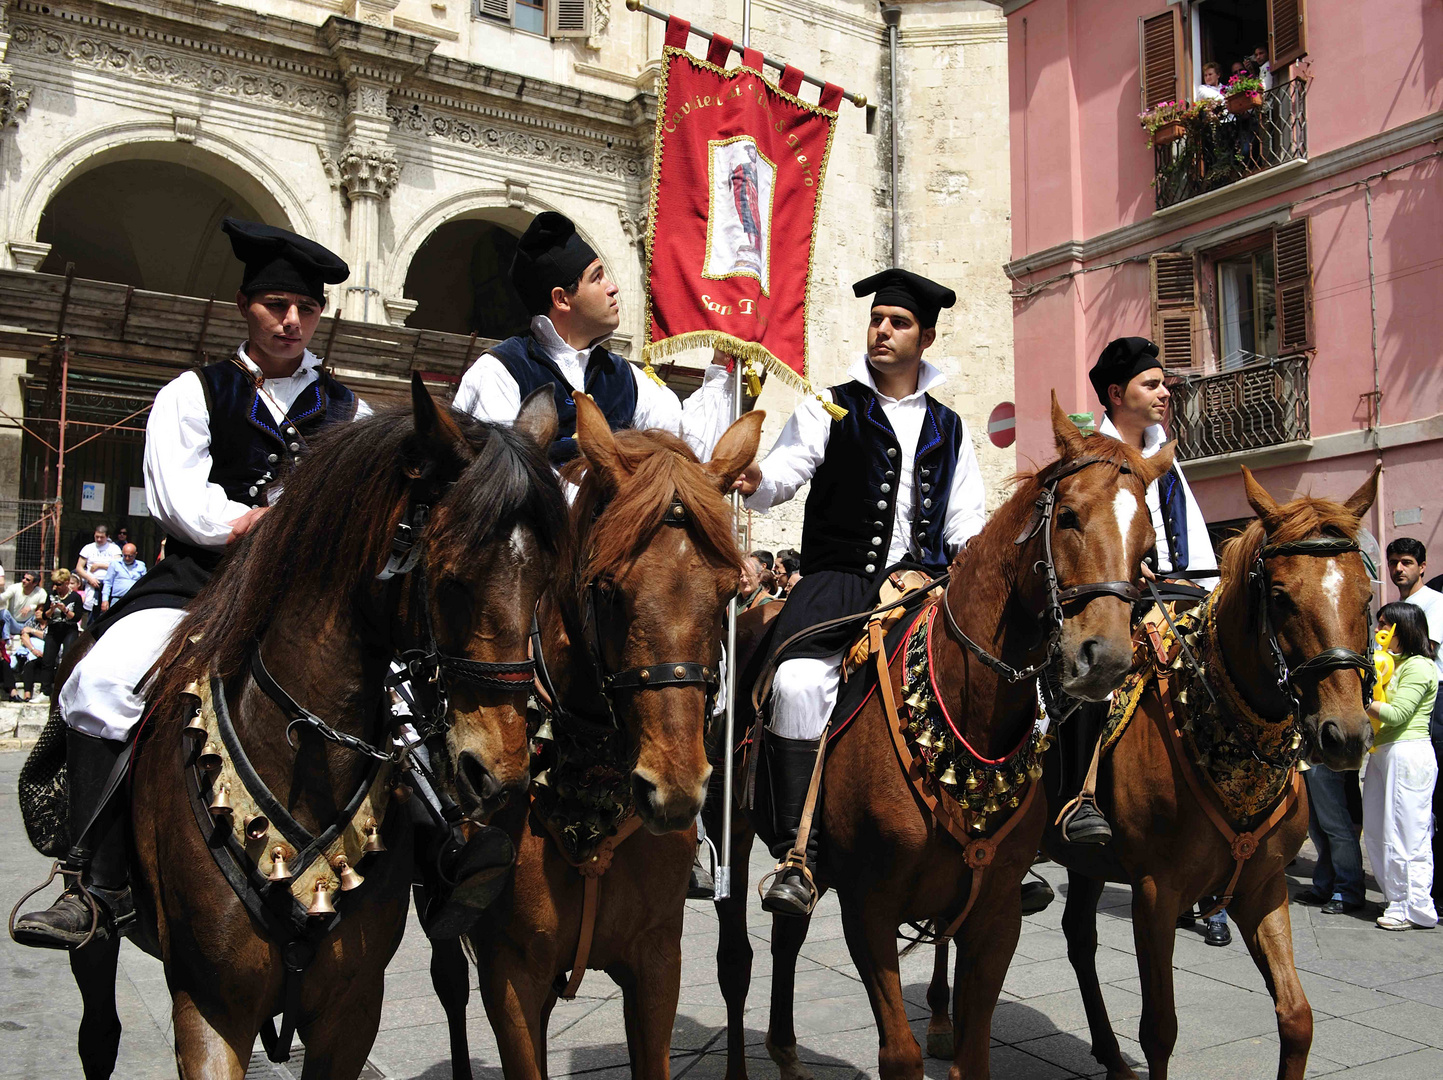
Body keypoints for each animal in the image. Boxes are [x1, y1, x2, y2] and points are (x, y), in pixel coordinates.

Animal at [424, 395, 761, 1080]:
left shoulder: (656, 962)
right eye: (608, 590)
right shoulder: (509, 975)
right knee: (447, 984)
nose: (675, 791)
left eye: (726, 593)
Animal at [707, 395, 1171, 1080]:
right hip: (730, 833)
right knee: (735, 961)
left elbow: (974, 1052)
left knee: (787, 938)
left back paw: (787, 1052)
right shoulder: (869, 910)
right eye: (1068, 517)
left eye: (1148, 543)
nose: (1105, 660)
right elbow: (899, 1055)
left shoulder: (994, 912)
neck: (961, 706)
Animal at [923, 467, 1373, 1080]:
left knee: (1078, 938)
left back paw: (1110, 1055)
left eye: (1367, 596)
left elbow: (1297, 1017)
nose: (1344, 734)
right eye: (1280, 597)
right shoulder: (1158, 892)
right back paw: (941, 1021)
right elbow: (1160, 1029)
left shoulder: (1264, 886)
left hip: (1086, 858)